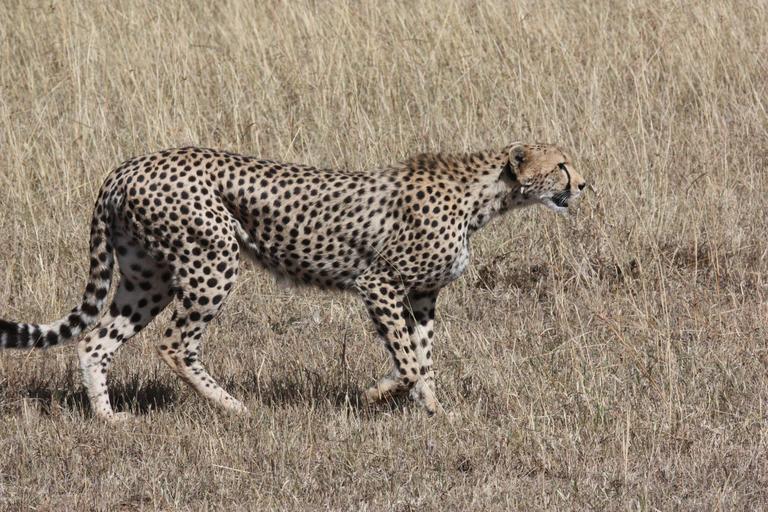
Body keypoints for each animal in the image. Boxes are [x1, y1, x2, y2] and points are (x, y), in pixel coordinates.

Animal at [0, 142, 587, 422]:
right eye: (561, 164)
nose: (584, 184)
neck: (487, 196)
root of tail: (129, 165)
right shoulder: (378, 283)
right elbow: (410, 359)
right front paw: (404, 400)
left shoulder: (421, 296)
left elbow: (421, 356)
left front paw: (415, 404)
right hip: (213, 260)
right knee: (174, 342)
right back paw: (234, 408)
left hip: (149, 278)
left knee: (96, 340)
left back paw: (108, 419)